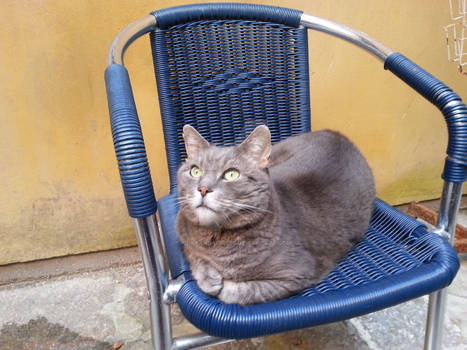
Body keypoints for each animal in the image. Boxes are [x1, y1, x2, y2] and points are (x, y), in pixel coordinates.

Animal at [176, 124, 376, 304]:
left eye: (232, 174)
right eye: (195, 171)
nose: (203, 188)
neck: (217, 239)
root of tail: (337, 134)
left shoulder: (298, 272)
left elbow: (237, 293)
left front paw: (224, 284)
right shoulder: (184, 239)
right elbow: (195, 255)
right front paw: (209, 278)